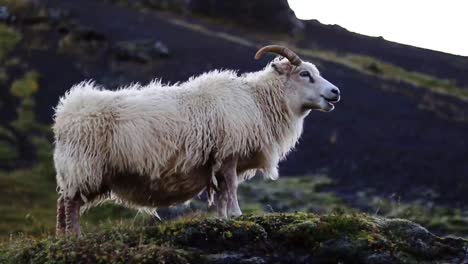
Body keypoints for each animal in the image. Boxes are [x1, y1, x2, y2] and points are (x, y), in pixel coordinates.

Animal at [54, 44, 340, 235]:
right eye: (304, 74)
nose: (335, 92)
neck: (258, 101)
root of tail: (66, 111)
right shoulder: (229, 152)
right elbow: (231, 188)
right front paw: (237, 215)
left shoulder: (218, 160)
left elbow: (222, 192)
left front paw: (223, 219)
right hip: (83, 166)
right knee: (70, 204)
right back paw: (75, 237)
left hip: (81, 171)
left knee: (62, 204)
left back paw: (62, 238)